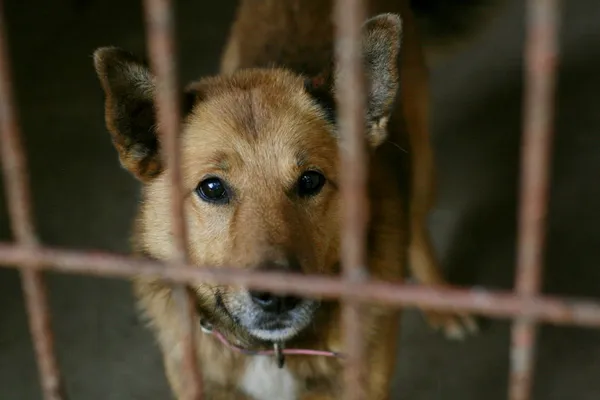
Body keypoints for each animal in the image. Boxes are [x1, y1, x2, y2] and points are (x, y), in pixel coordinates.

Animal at [91, 0, 500, 400]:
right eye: (211, 188)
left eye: (310, 181)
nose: (278, 296)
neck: (271, 350)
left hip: (422, 157)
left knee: (415, 221)